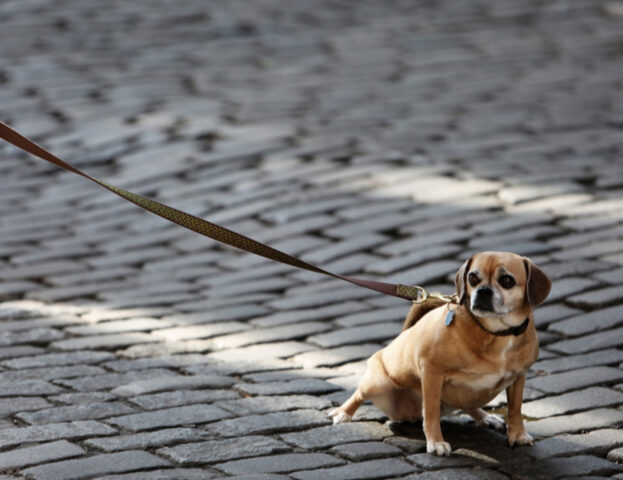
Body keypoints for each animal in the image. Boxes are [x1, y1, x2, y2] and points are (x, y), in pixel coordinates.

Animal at [326, 253, 552, 456]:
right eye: (473, 278)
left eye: (507, 281)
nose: (483, 291)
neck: (495, 333)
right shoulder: (432, 371)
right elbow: (431, 411)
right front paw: (436, 442)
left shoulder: (519, 377)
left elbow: (515, 409)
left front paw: (518, 434)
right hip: (377, 383)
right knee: (358, 395)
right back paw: (343, 413)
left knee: (469, 404)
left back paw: (485, 417)